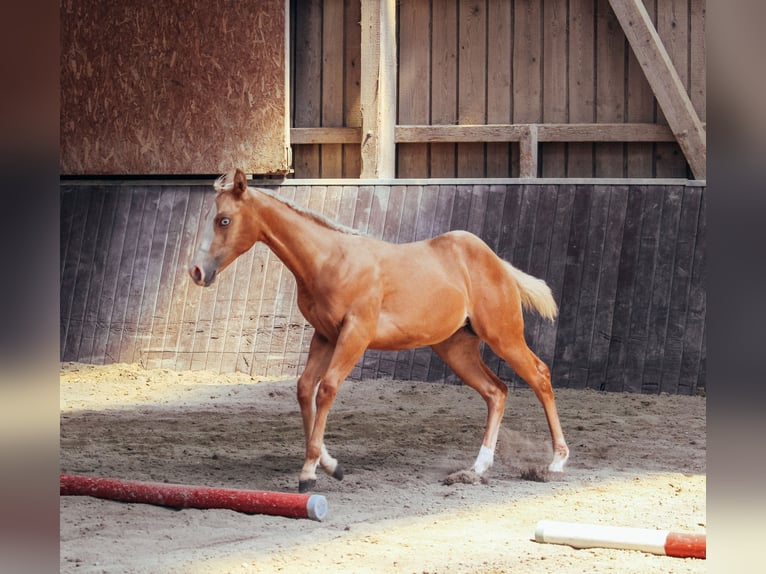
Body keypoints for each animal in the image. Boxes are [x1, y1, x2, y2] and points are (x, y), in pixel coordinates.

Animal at [189, 168, 569, 493]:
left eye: (224, 220)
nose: (196, 272)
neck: (329, 260)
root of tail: (498, 263)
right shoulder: (324, 336)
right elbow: (305, 389)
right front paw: (331, 465)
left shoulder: (355, 334)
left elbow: (327, 389)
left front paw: (310, 473)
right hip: (455, 349)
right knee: (496, 392)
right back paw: (476, 469)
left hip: (504, 335)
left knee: (539, 375)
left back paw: (556, 462)